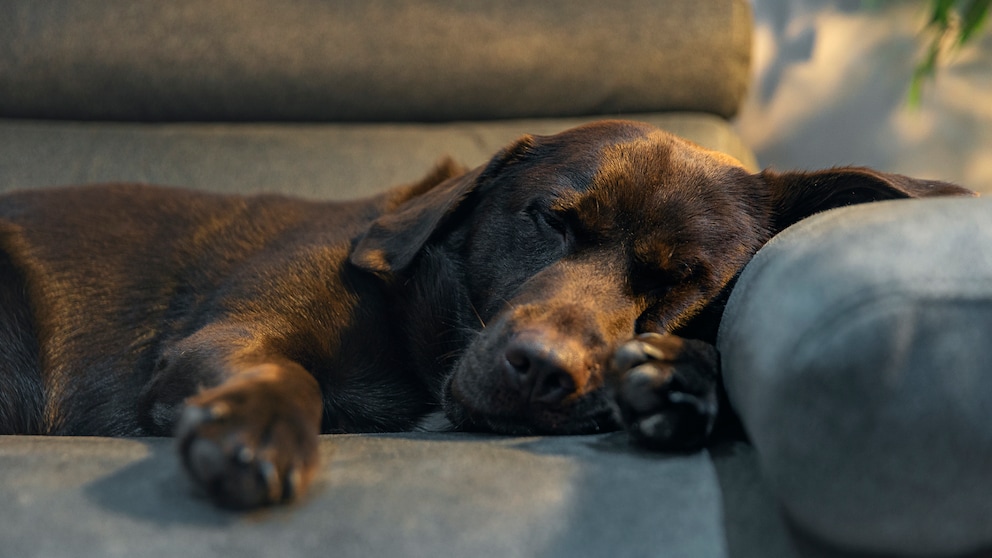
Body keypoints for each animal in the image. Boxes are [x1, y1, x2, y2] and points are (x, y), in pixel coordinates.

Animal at [0, 120, 976, 510]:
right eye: (550, 220)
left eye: (687, 281)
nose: (542, 369)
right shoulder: (231, 334)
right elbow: (286, 373)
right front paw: (257, 430)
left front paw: (680, 381)